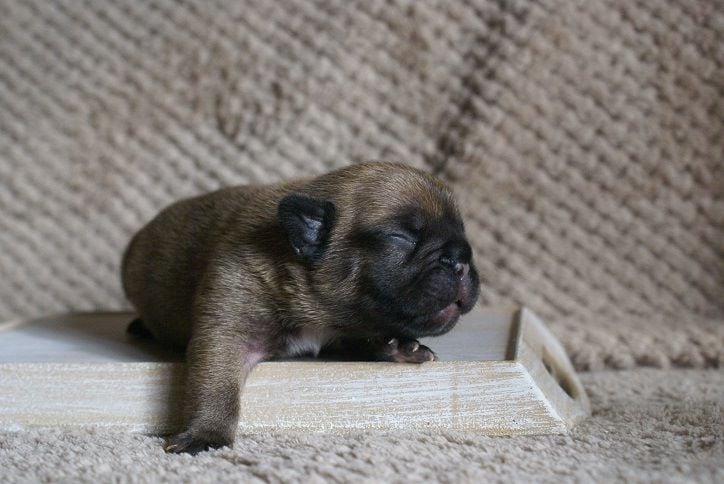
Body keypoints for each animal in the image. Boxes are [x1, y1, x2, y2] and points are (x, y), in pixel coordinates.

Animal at [121, 163, 478, 454]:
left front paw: (399, 348)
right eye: (400, 237)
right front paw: (206, 433)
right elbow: (216, 386)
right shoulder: (227, 333)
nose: (460, 258)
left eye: (464, 236)